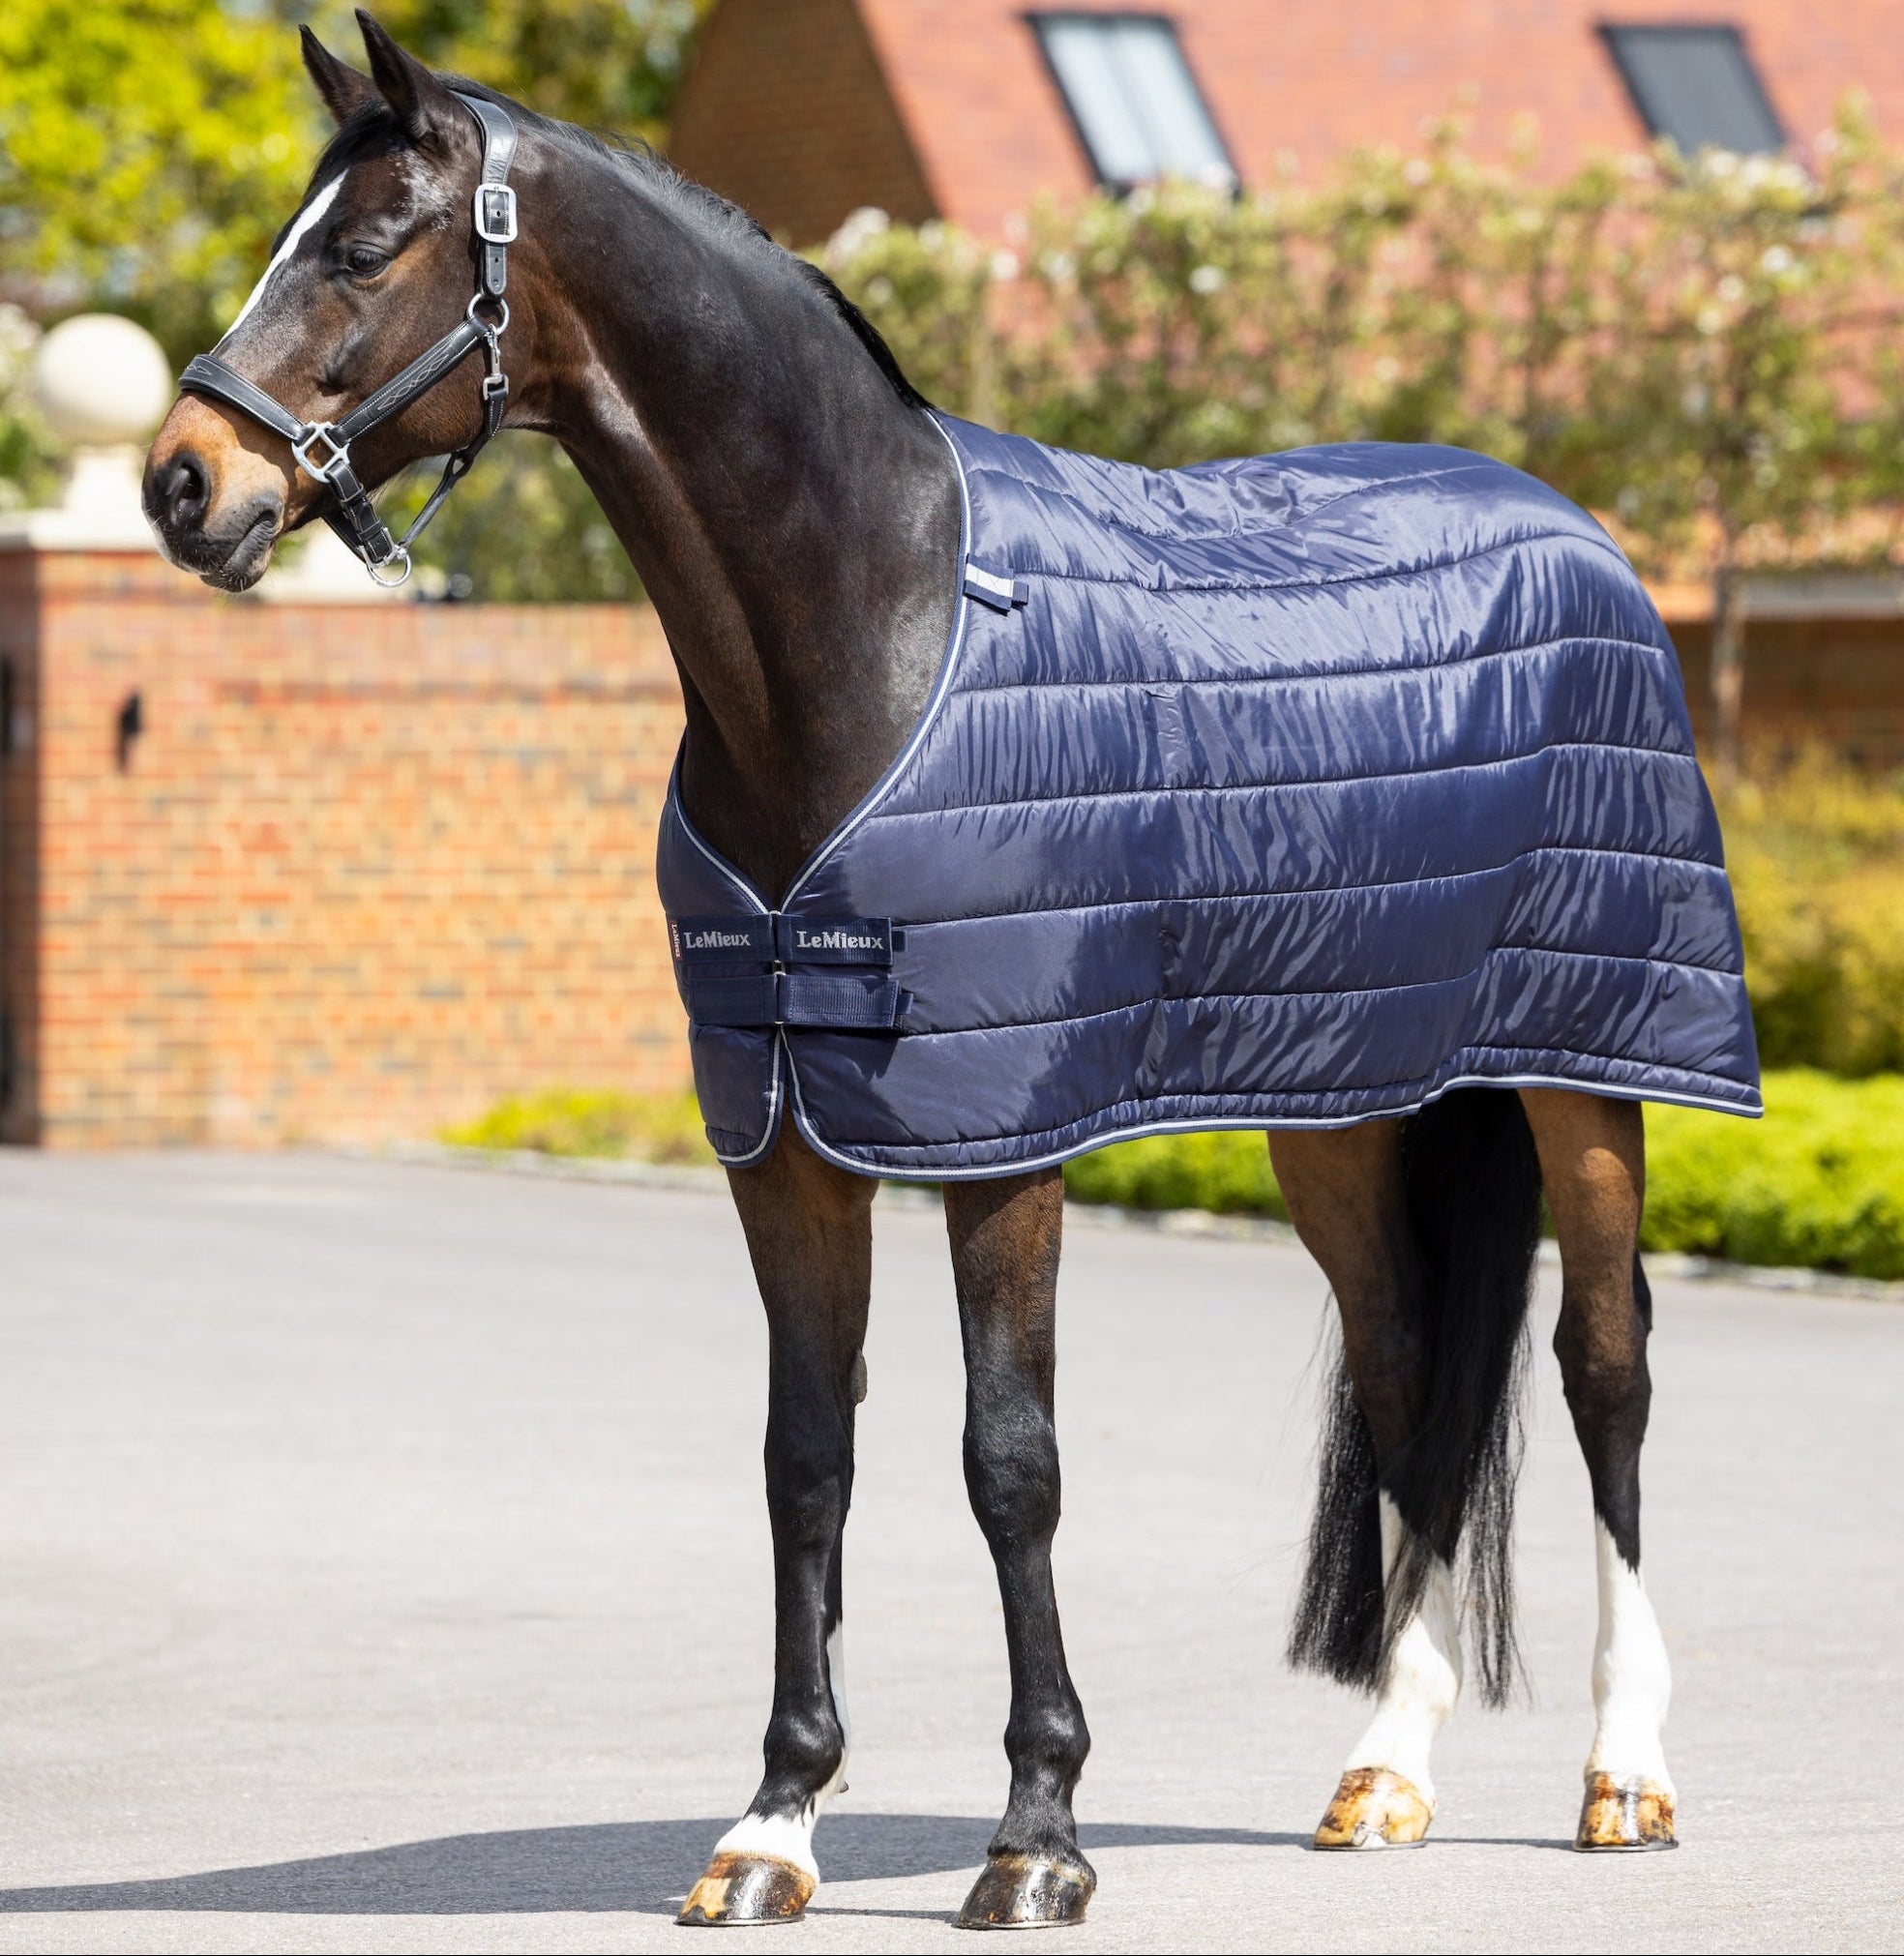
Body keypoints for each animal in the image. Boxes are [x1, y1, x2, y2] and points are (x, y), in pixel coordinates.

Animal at [144, 15, 1758, 1928]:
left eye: (367, 244)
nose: (183, 482)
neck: (871, 630)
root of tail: (1570, 524)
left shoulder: (1000, 1138)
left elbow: (1010, 1461)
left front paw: (1038, 1833)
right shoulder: (781, 1135)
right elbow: (805, 1456)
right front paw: (772, 1825)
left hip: (1592, 1068)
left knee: (1605, 1367)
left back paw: (1625, 1773)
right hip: (1343, 1105)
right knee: (1406, 1372)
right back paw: (1384, 1773)